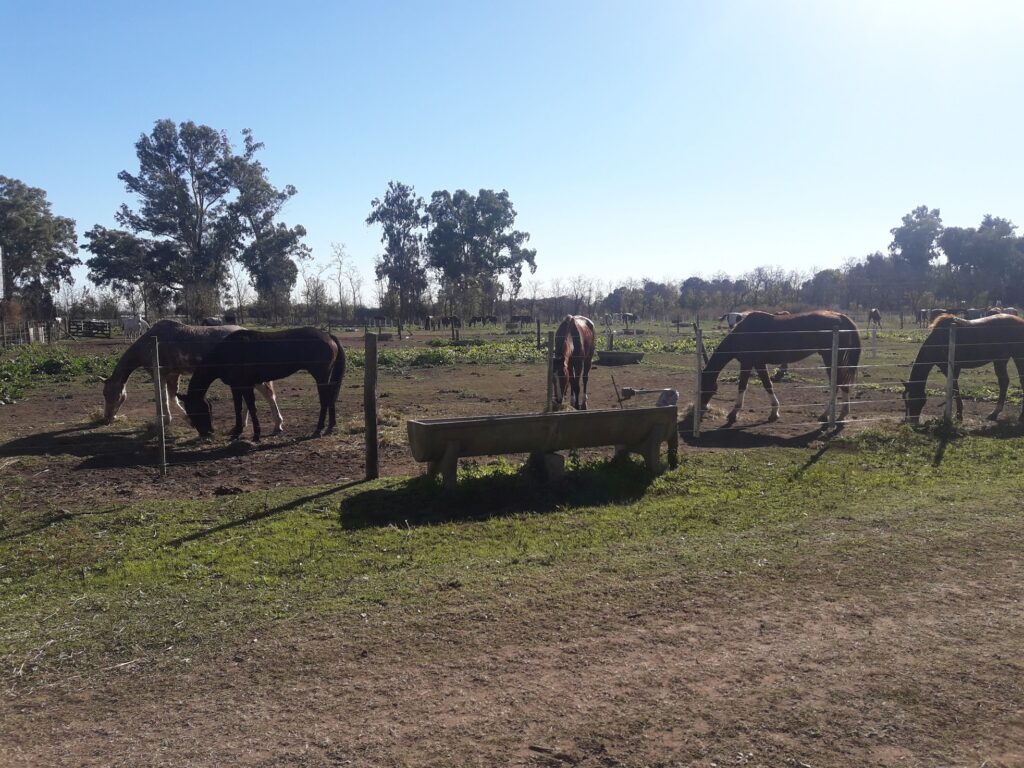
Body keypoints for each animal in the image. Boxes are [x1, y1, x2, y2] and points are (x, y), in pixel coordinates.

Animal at [101, 320, 283, 432]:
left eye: (109, 395)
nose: (107, 418)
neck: (150, 344)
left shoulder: (159, 374)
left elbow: (164, 399)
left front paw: (165, 422)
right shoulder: (173, 375)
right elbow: (172, 398)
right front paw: (184, 420)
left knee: (269, 395)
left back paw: (278, 425)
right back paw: (243, 425)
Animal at [177, 328, 345, 441]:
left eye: (194, 410)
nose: (205, 432)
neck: (229, 351)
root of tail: (328, 335)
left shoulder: (245, 385)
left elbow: (251, 407)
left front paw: (256, 434)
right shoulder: (236, 386)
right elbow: (238, 408)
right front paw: (237, 432)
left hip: (321, 376)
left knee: (325, 399)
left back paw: (319, 428)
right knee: (330, 397)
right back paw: (331, 425)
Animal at [700, 310, 862, 426]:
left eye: (708, 388)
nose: (703, 407)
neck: (742, 333)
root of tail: (841, 316)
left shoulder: (748, 363)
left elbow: (745, 387)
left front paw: (734, 414)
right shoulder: (757, 364)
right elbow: (767, 385)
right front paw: (774, 412)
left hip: (830, 359)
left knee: (837, 384)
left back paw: (826, 415)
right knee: (843, 384)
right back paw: (841, 415)